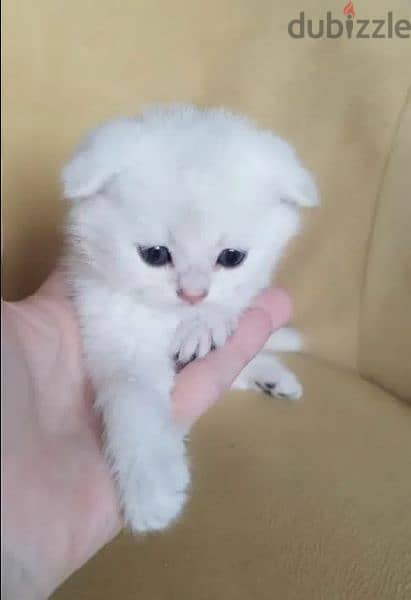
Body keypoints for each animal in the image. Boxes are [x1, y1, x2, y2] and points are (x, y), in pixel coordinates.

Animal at [62, 104, 320, 536]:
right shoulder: (114, 329)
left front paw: (207, 322)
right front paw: (152, 487)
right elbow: (134, 400)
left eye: (232, 257)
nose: (193, 295)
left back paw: (272, 377)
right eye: (154, 254)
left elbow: (233, 306)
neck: (168, 317)